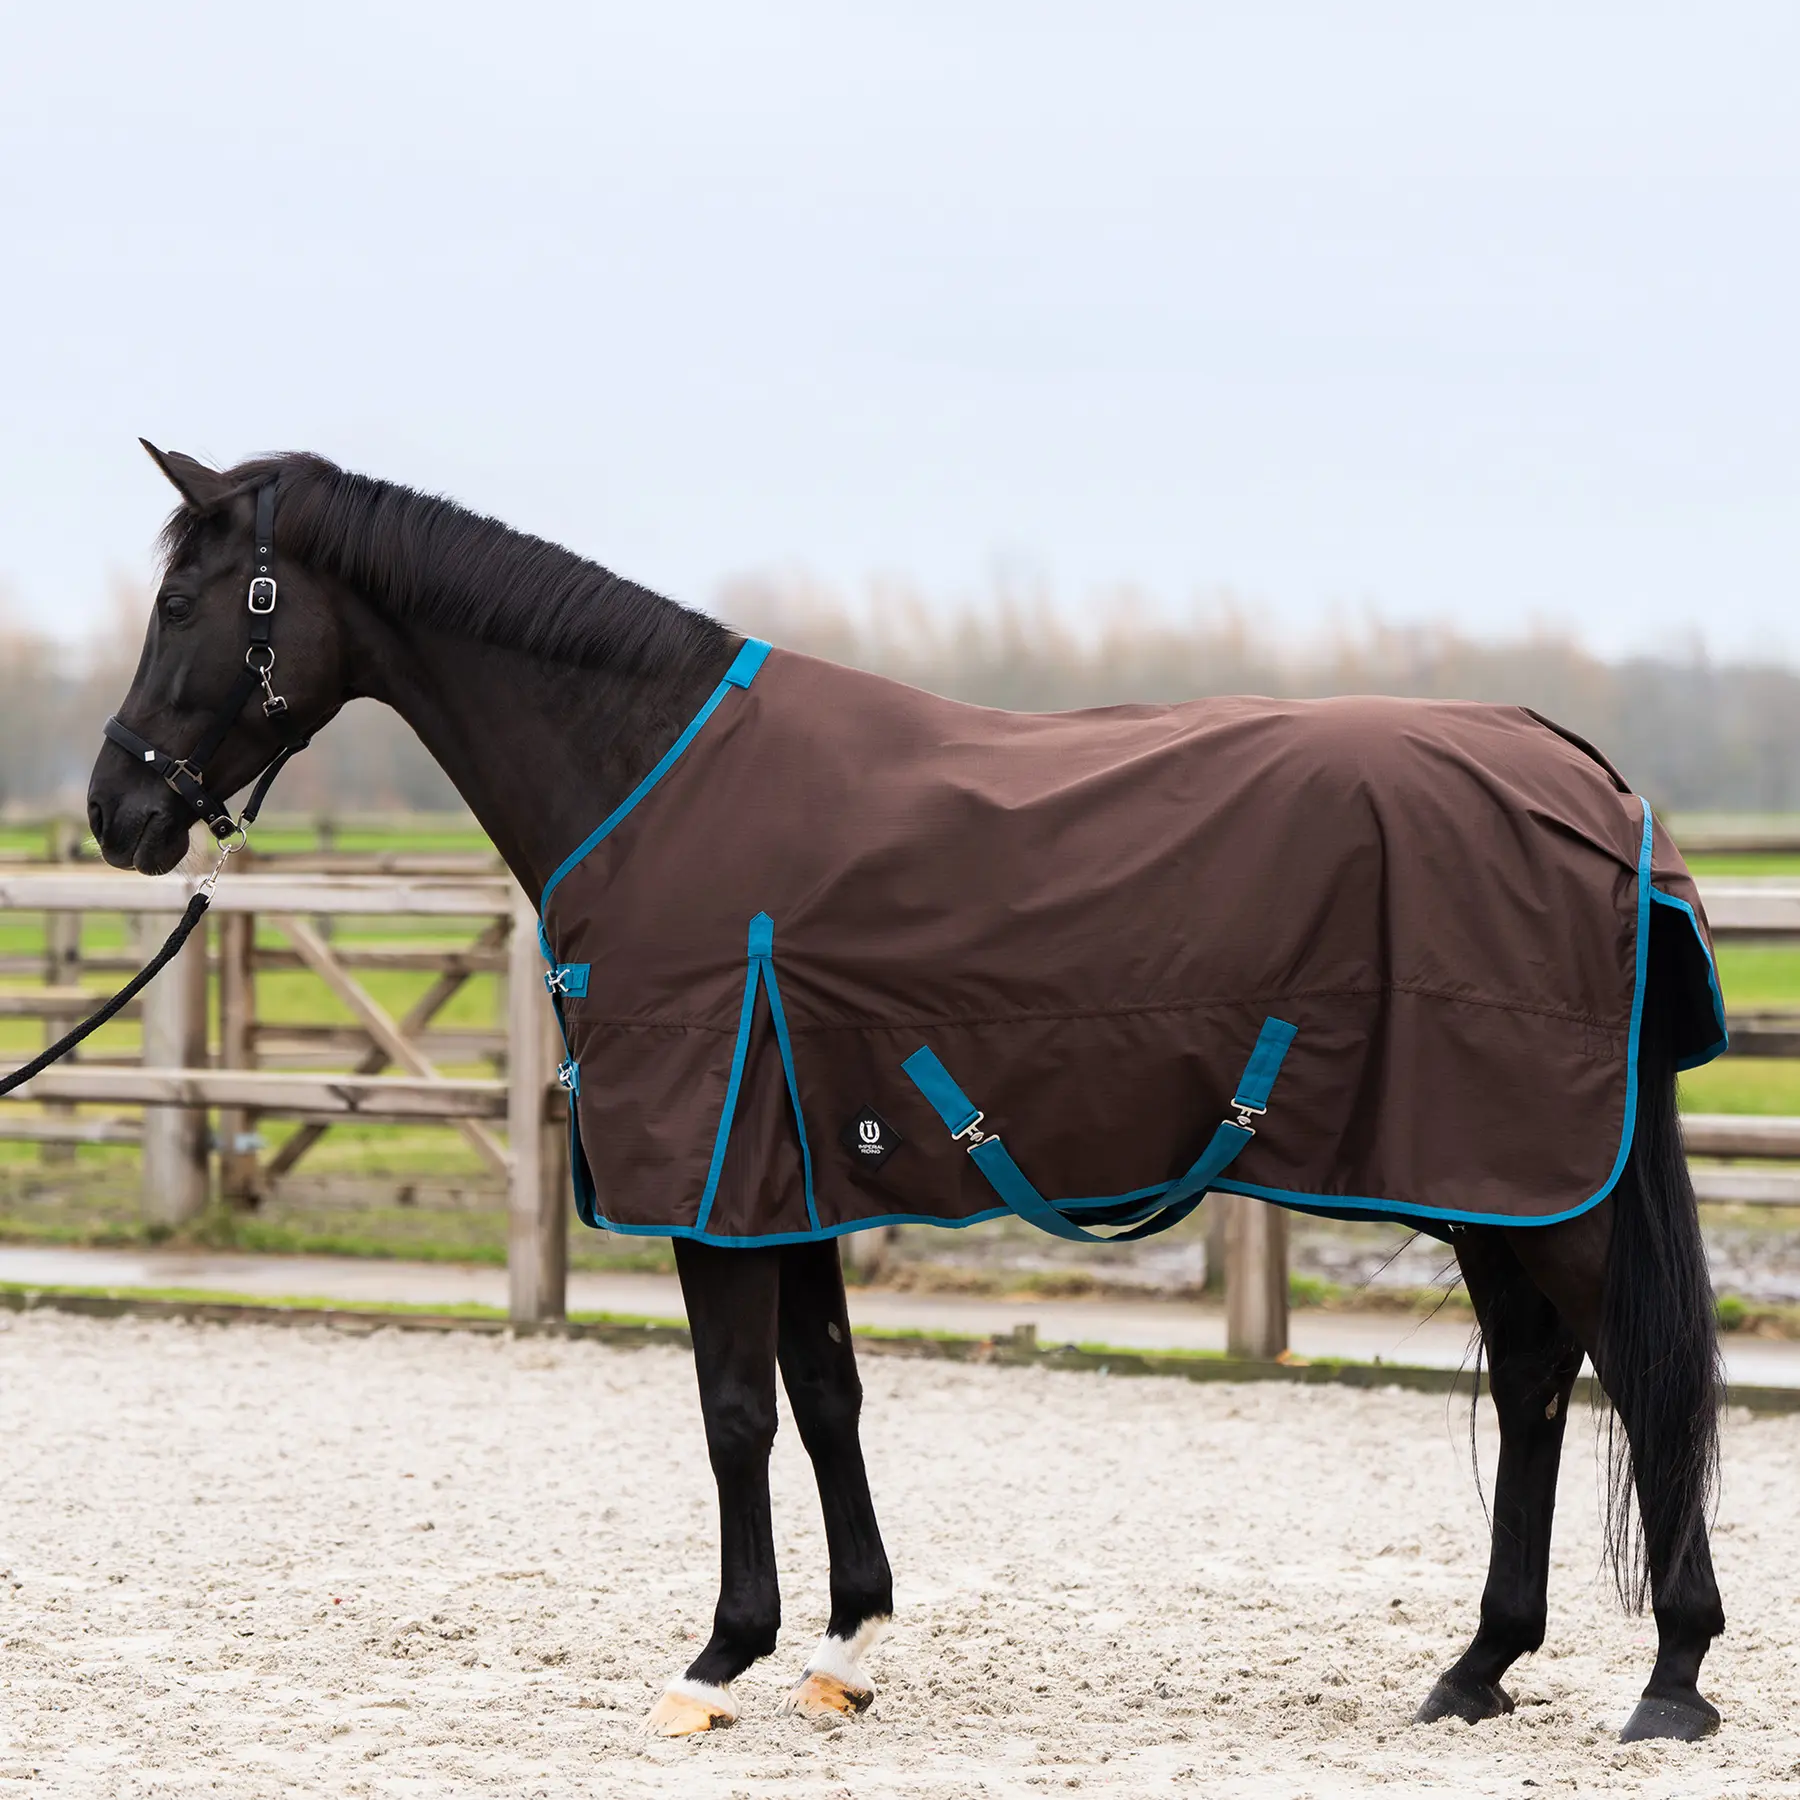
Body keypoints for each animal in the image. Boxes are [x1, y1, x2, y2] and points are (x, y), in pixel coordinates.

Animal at [83, 443, 1726, 1745]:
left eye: (185, 606)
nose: (118, 812)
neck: (649, 772)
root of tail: (1589, 782)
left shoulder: (718, 1182)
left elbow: (734, 1412)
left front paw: (720, 1660)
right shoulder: (793, 1169)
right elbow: (826, 1396)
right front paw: (846, 1643)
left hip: (1531, 1184)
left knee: (1635, 1378)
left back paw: (1672, 1678)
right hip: (1493, 1184)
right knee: (1538, 1379)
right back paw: (1478, 1667)